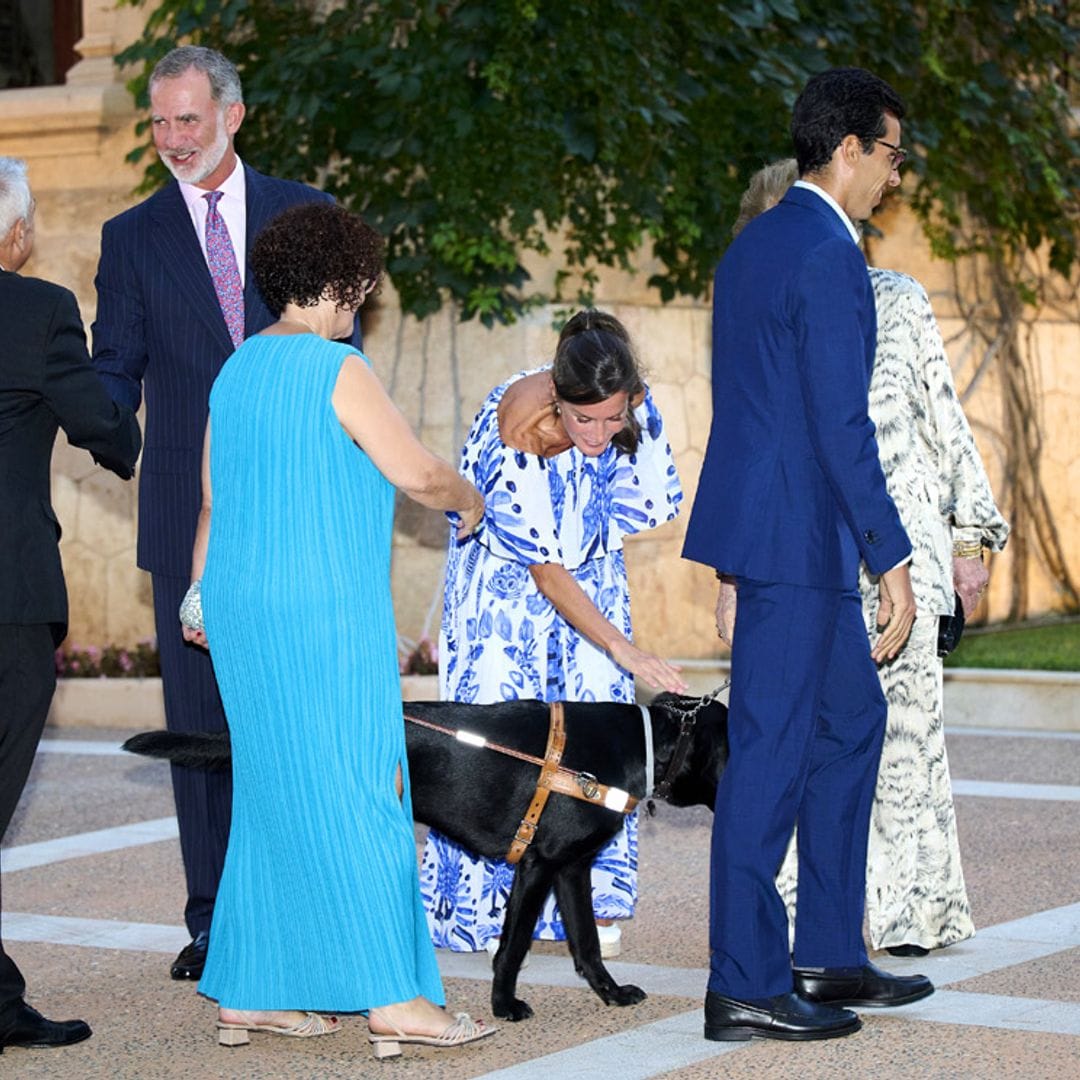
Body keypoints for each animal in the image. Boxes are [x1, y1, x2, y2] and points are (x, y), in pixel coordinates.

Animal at [128, 691, 734, 1019]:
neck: (645, 744)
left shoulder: (570, 867)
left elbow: (586, 943)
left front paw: (610, 994)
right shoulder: (538, 864)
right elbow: (513, 946)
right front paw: (504, 1006)